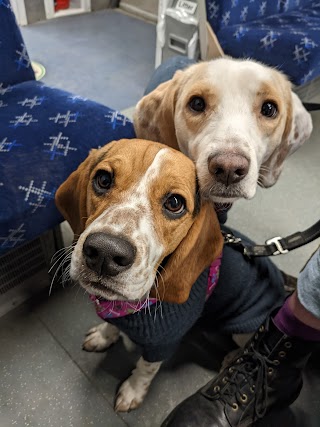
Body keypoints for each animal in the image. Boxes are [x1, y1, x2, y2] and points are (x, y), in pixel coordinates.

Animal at [55, 139, 224, 412]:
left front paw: (133, 391)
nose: (105, 252)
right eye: (103, 179)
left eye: (175, 203)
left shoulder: (162, 343)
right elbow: (111, 325)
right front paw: (104, 336)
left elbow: (145, 369)